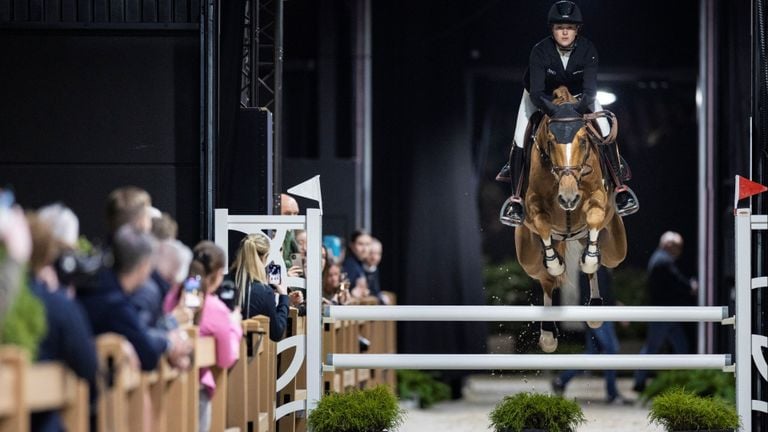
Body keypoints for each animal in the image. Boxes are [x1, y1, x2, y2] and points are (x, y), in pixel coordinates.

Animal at [512, 86, 628, 352]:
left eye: (584, 140)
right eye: (551, 141)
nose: (568, 198)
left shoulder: (598, 199)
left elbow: (594, 222)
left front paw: (588, 260)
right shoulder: (534, 207)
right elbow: (544, 227)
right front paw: (556, 264)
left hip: (616, 248)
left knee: (597, 261)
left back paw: (595, 310)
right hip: (529, 256)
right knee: (545, 278)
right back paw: (547, 334)